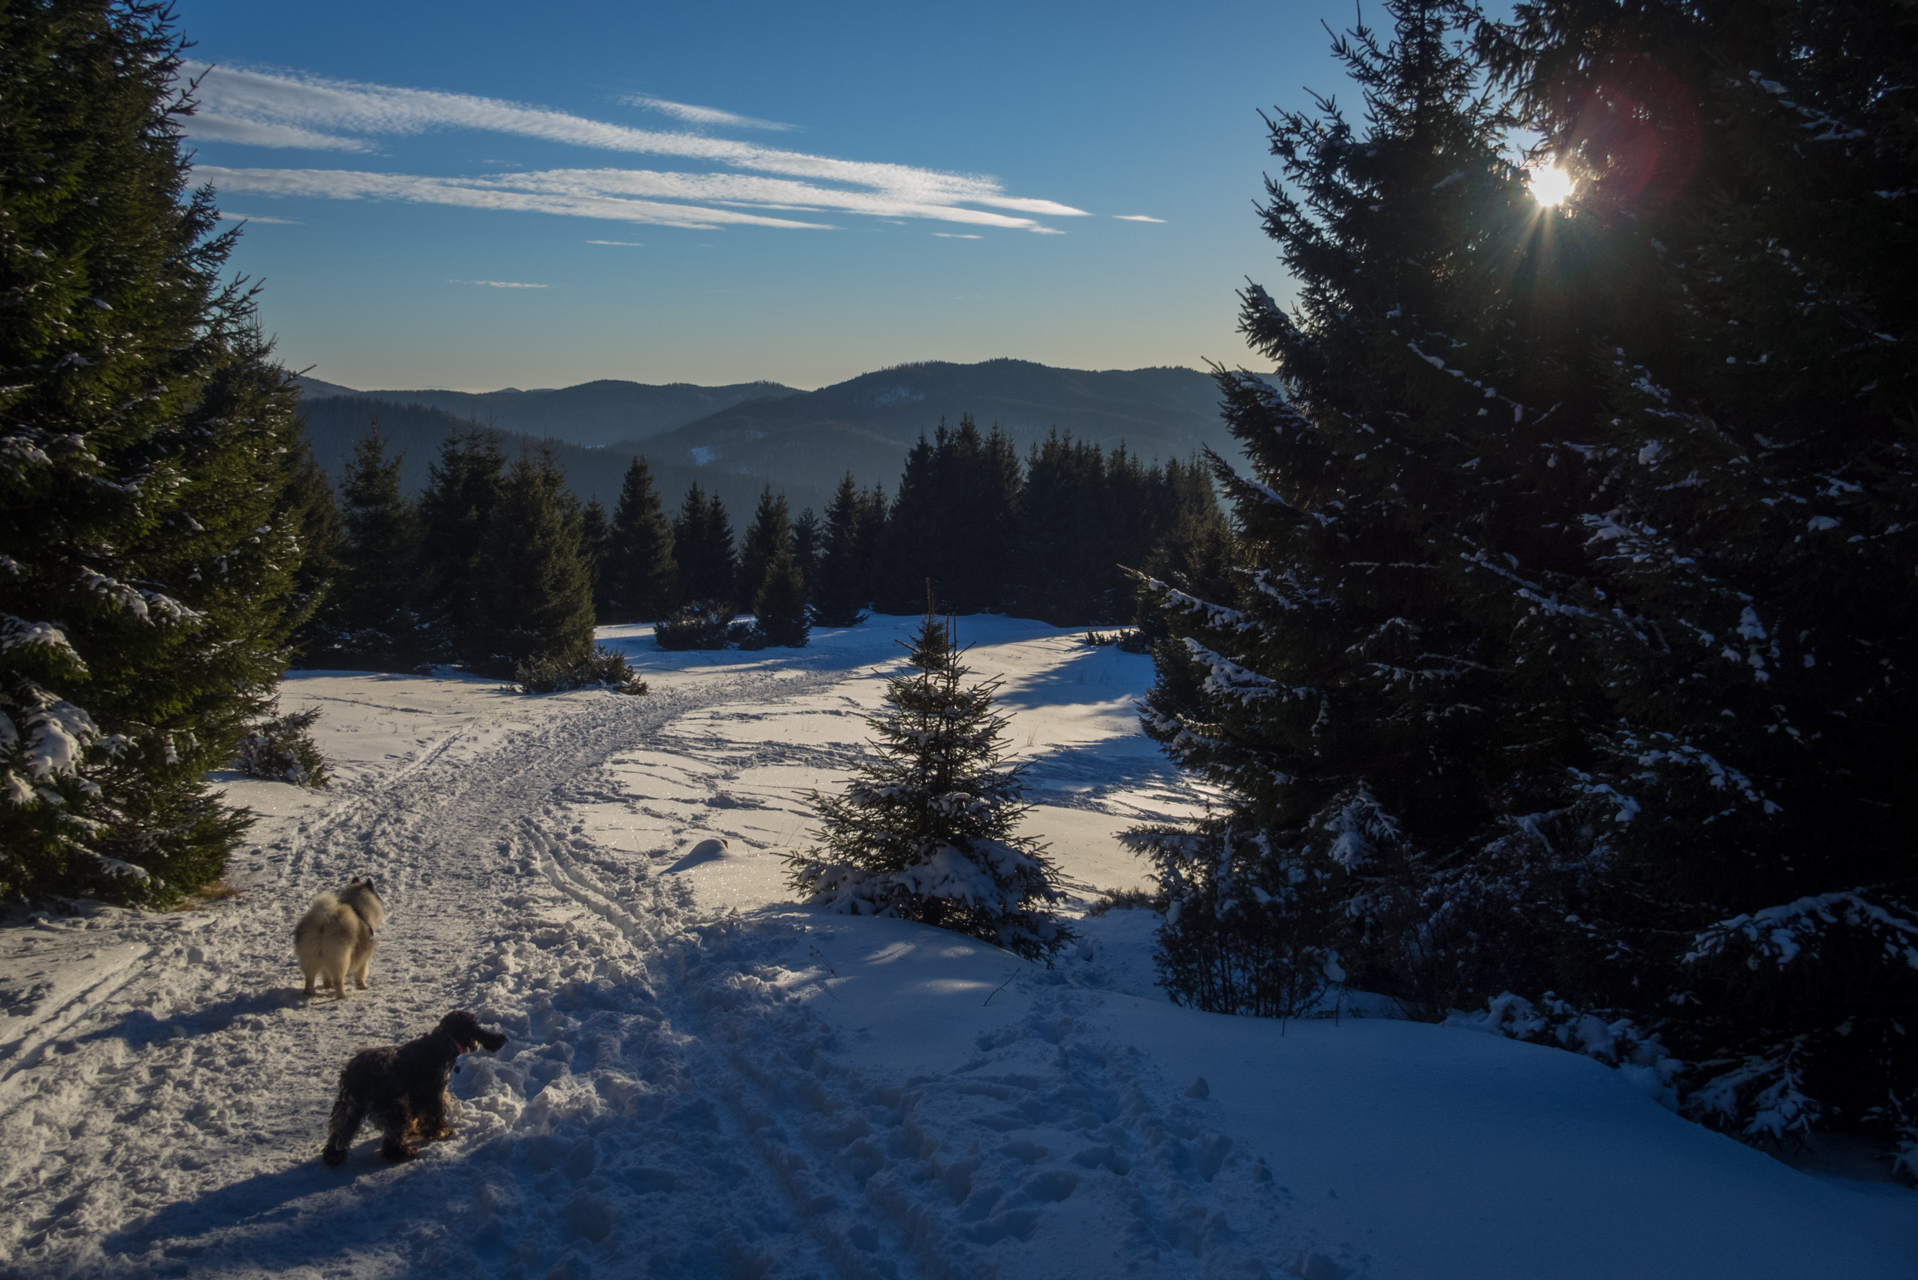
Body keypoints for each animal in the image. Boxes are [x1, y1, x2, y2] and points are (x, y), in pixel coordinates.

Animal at [326, 1013, 514, 1174]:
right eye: (475, 1026)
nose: (500, 1039)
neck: (445, 1040)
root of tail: (355, 1078)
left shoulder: (417, 1097)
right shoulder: (434, 1094)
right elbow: (435, 1116)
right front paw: (442, 1132)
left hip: (345, 1108)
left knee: (337, 1132)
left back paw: (333, 1156)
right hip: (395, 1109)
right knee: (390, 1143)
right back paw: (406, 1152)